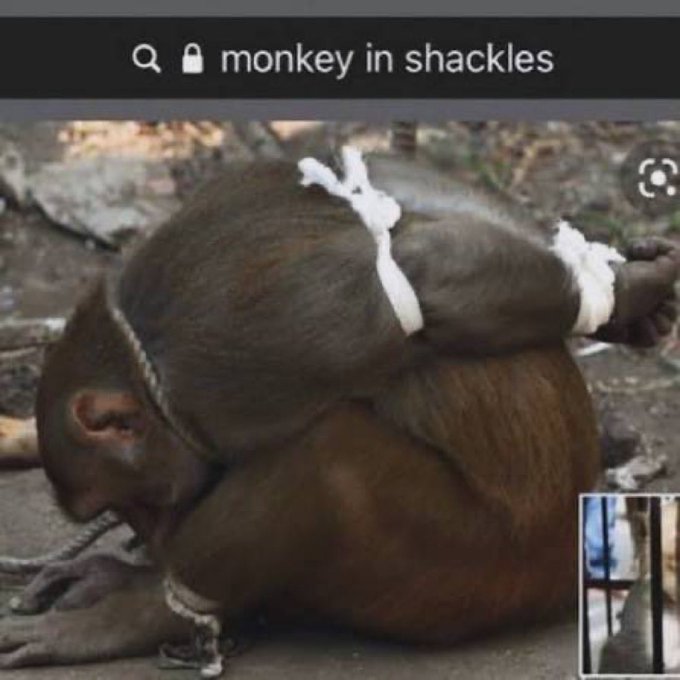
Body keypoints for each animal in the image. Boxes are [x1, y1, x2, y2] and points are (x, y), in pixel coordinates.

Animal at [0, 152, 677, 672]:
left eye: (130, 500)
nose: (149, 531)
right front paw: (630, 295)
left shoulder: (247, 355)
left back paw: (142, 612)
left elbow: (418, 279)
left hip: (472, 578)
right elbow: (401, 198)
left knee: (328, 454)